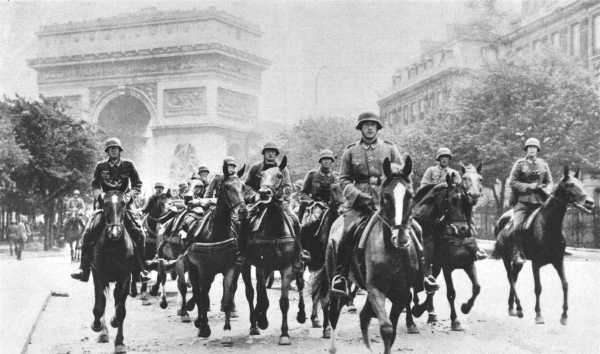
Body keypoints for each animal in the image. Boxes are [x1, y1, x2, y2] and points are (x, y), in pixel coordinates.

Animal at [89, 191, 138, 354]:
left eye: (123, 204)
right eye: (104, 204)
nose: (114, 233)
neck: (113, 246)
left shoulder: (125, 277)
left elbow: (121, 310)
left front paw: (119, 340)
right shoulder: (99, 275)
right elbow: (99, 305)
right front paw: (97, 325)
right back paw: (103, 333)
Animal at [239, 156, 304, 346]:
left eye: (279, 175)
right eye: (260, 176)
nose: (264, 193)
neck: (274, 228)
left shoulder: (287, 267)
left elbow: (283, 301)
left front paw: (285, 334)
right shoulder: (261, 265)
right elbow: (262, 296)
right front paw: (262, 319)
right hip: (246, 265)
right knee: (251, 293)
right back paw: (255, 324)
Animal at [314, 158, 418, 354]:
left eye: (410, 195)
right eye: (386, 196)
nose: (401, 238)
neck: (392, 253)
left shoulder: (401, 294)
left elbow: (392, 331)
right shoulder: (375, 289)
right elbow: (386, 328)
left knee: (362, 315)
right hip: (336, 282)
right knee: (333, 312)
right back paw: (332, 346)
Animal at [410, 162, 486, 330]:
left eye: (480, 178)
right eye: (465, 178)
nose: (473, 195)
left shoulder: (468, 263)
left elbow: (477, 287)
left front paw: (465, 307)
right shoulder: (447, 267)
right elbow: (451, 293)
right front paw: (455, 320)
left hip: (436, 266)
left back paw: (429, 313)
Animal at [492, 167, 596, 324]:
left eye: (581, 183)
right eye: (570, 184)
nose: (590, 202)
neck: (549, 226)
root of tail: (500, 220)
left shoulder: (558, 261)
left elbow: (565, 284)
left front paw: (564, 316)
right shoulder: (536, 263)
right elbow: (538, 288)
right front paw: (539, 314)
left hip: (518, 262)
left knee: (514, 277)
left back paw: (512, 308)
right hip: (506, 258)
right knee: (510, 278)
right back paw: (519, 308)